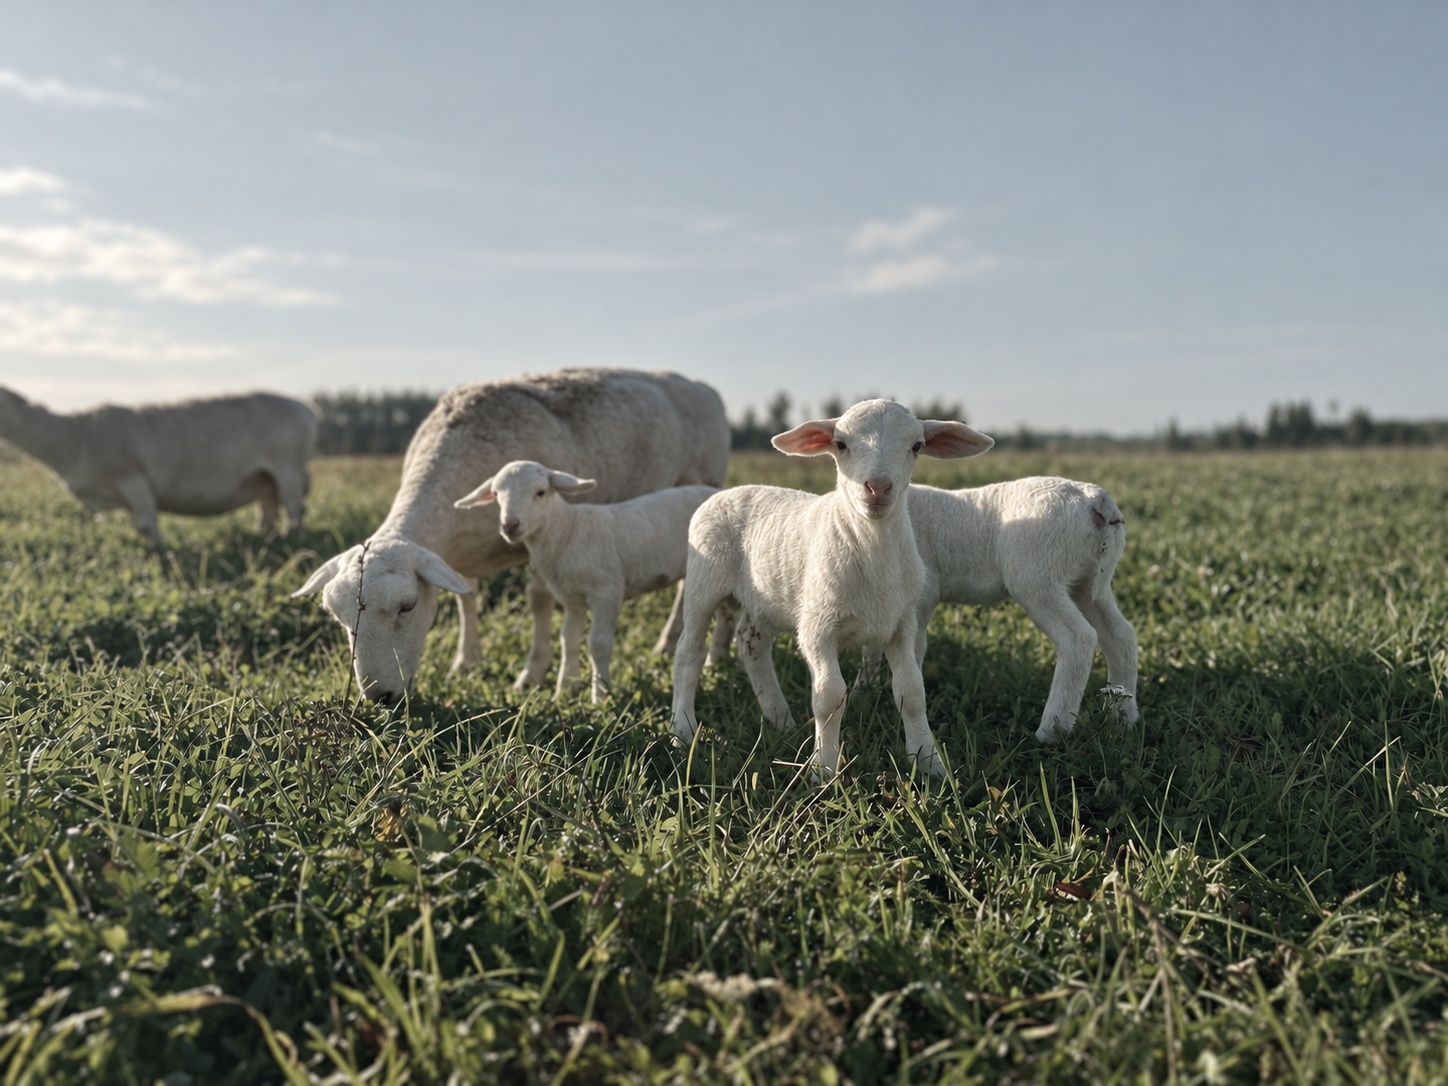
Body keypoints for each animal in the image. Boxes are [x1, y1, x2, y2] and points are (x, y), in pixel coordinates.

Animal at [0, 386, 315, 549]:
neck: (74, 436)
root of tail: (304, 407)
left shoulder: (133, 481)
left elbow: (148, 523)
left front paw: (162, 553)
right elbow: (140, 526)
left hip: (287, 467)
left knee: (294, 508)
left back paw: (293, 538)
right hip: (264, 477)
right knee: (269, 505)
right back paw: (265, 536)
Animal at [453, 460, 722, 701]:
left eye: (540, 492)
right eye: (496, 494)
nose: (510, 525)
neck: (568, 531)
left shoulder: (607, 592)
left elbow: (598, 644)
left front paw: (600, 696)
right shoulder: (572, 599)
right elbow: (568, 641)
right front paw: (564, 691)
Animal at [671, 399, 994, 779]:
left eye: (916, 446)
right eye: (840, 444)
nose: (878, 487)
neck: (871, 548)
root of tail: (728, 492)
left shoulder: (902, 624)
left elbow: (912, 692)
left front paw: (929, 763)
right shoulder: (817, 628)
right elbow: (829, 697)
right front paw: (823, 770)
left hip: (765, 599)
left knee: (752, 645)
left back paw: (780, 718)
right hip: (703, 582)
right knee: (688, 653)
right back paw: (682, 731)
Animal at [858, 478, 1140, 742]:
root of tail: (1096, 500)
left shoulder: (923, 594)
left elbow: (913, 650)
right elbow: (872, 648)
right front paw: (865, 691)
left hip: (1037, 574)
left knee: (1078, 638)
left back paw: (1051, 731)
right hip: (1092, 581)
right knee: (1121, 635)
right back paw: (1122, 718)